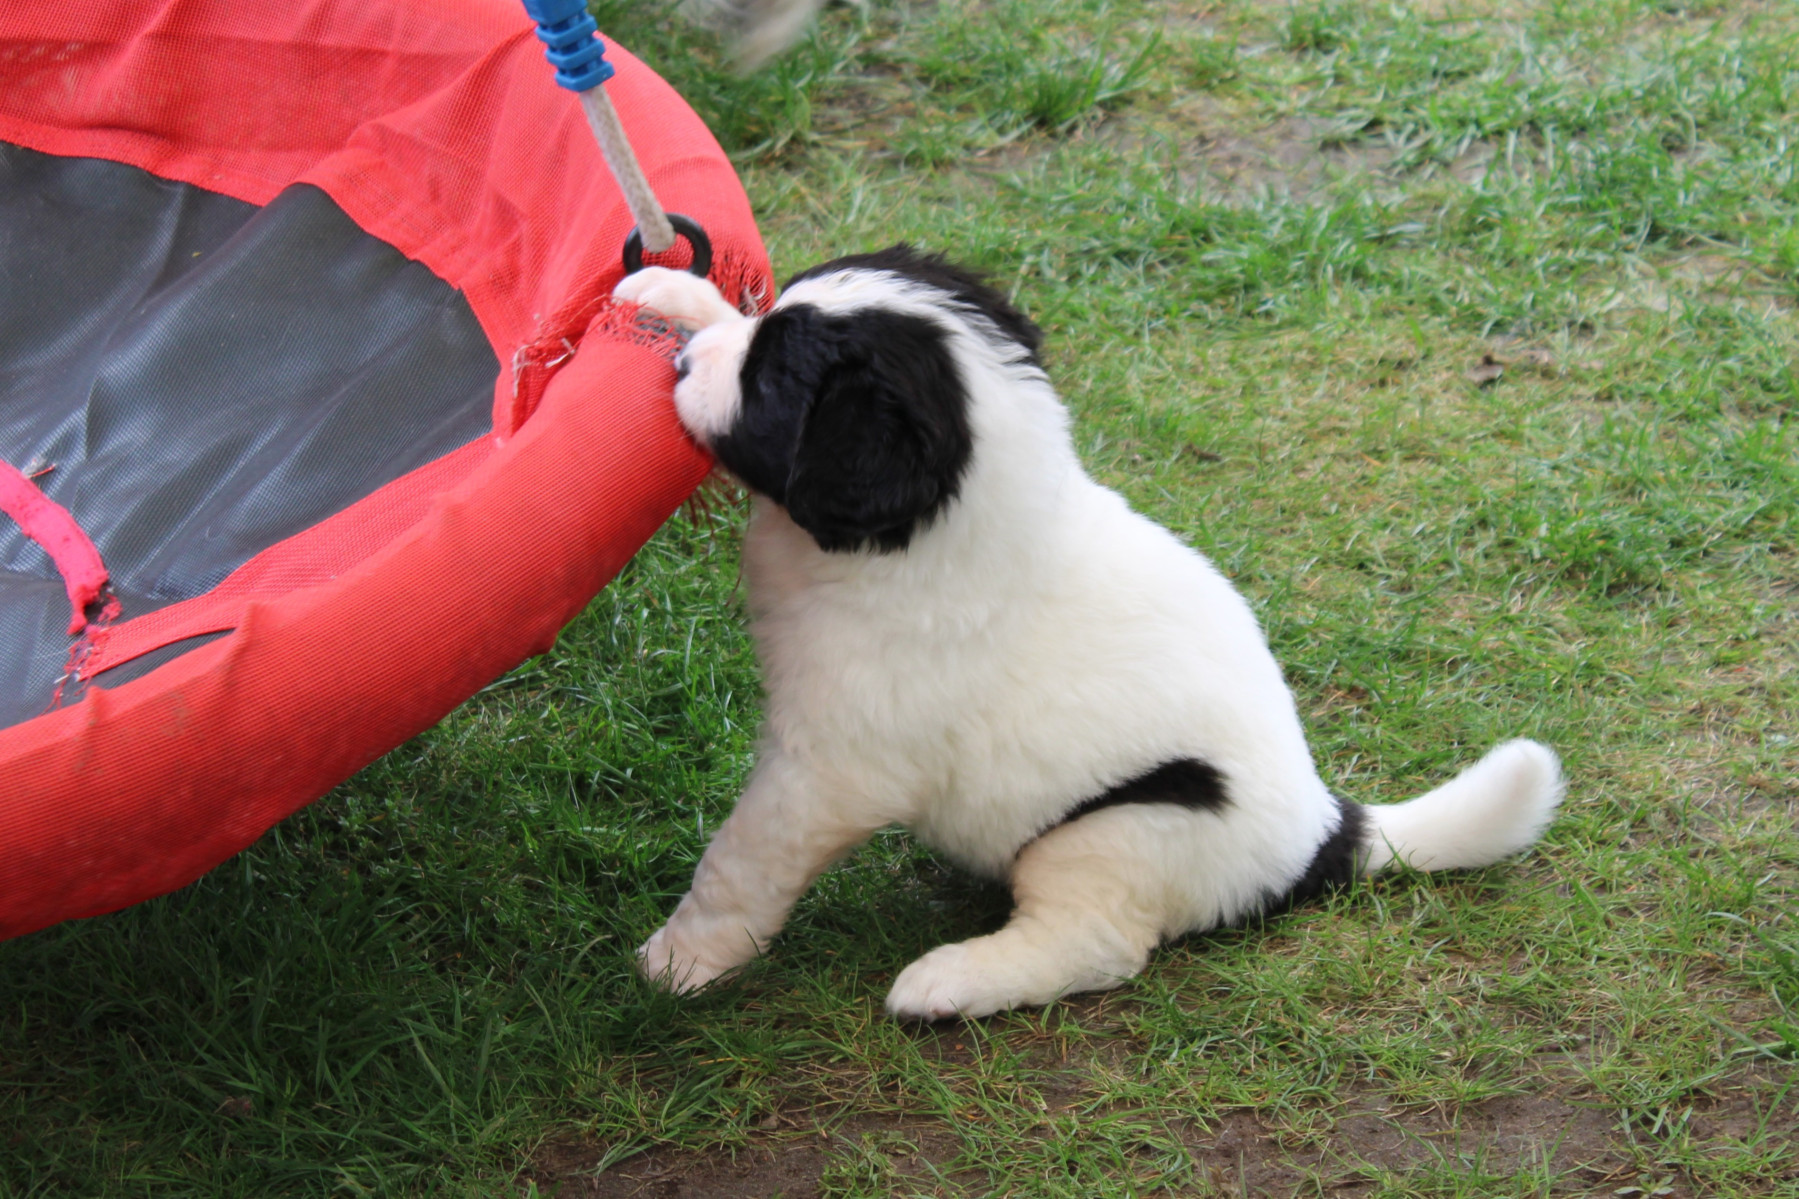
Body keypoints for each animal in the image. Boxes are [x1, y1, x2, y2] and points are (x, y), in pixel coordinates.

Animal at [611, 246, 1564, 1020]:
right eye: (770, 324)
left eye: (772, 385)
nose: (685, 363)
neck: (936, 530)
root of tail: (1324, 828)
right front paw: (672, 294)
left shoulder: (828, 769)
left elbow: (741, 858)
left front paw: (682, 959)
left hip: (1118, 830)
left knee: (1096, 942)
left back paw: (950, 981)